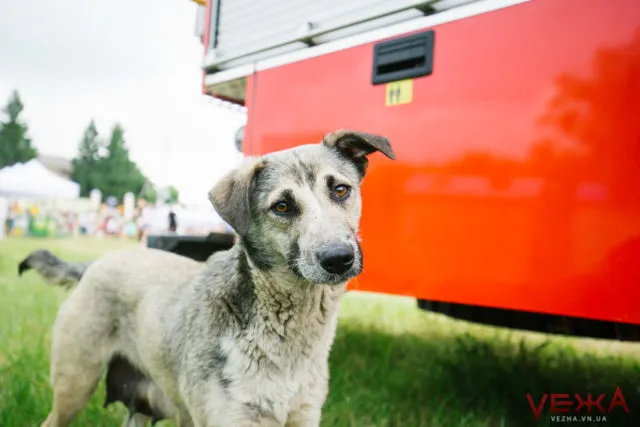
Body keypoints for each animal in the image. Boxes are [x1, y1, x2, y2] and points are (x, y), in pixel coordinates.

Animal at [19, 129, 395, 427]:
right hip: (74, 387)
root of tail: (95, 264)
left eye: (341, 190)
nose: (339, 258)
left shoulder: (303, 416)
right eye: (282, 207)